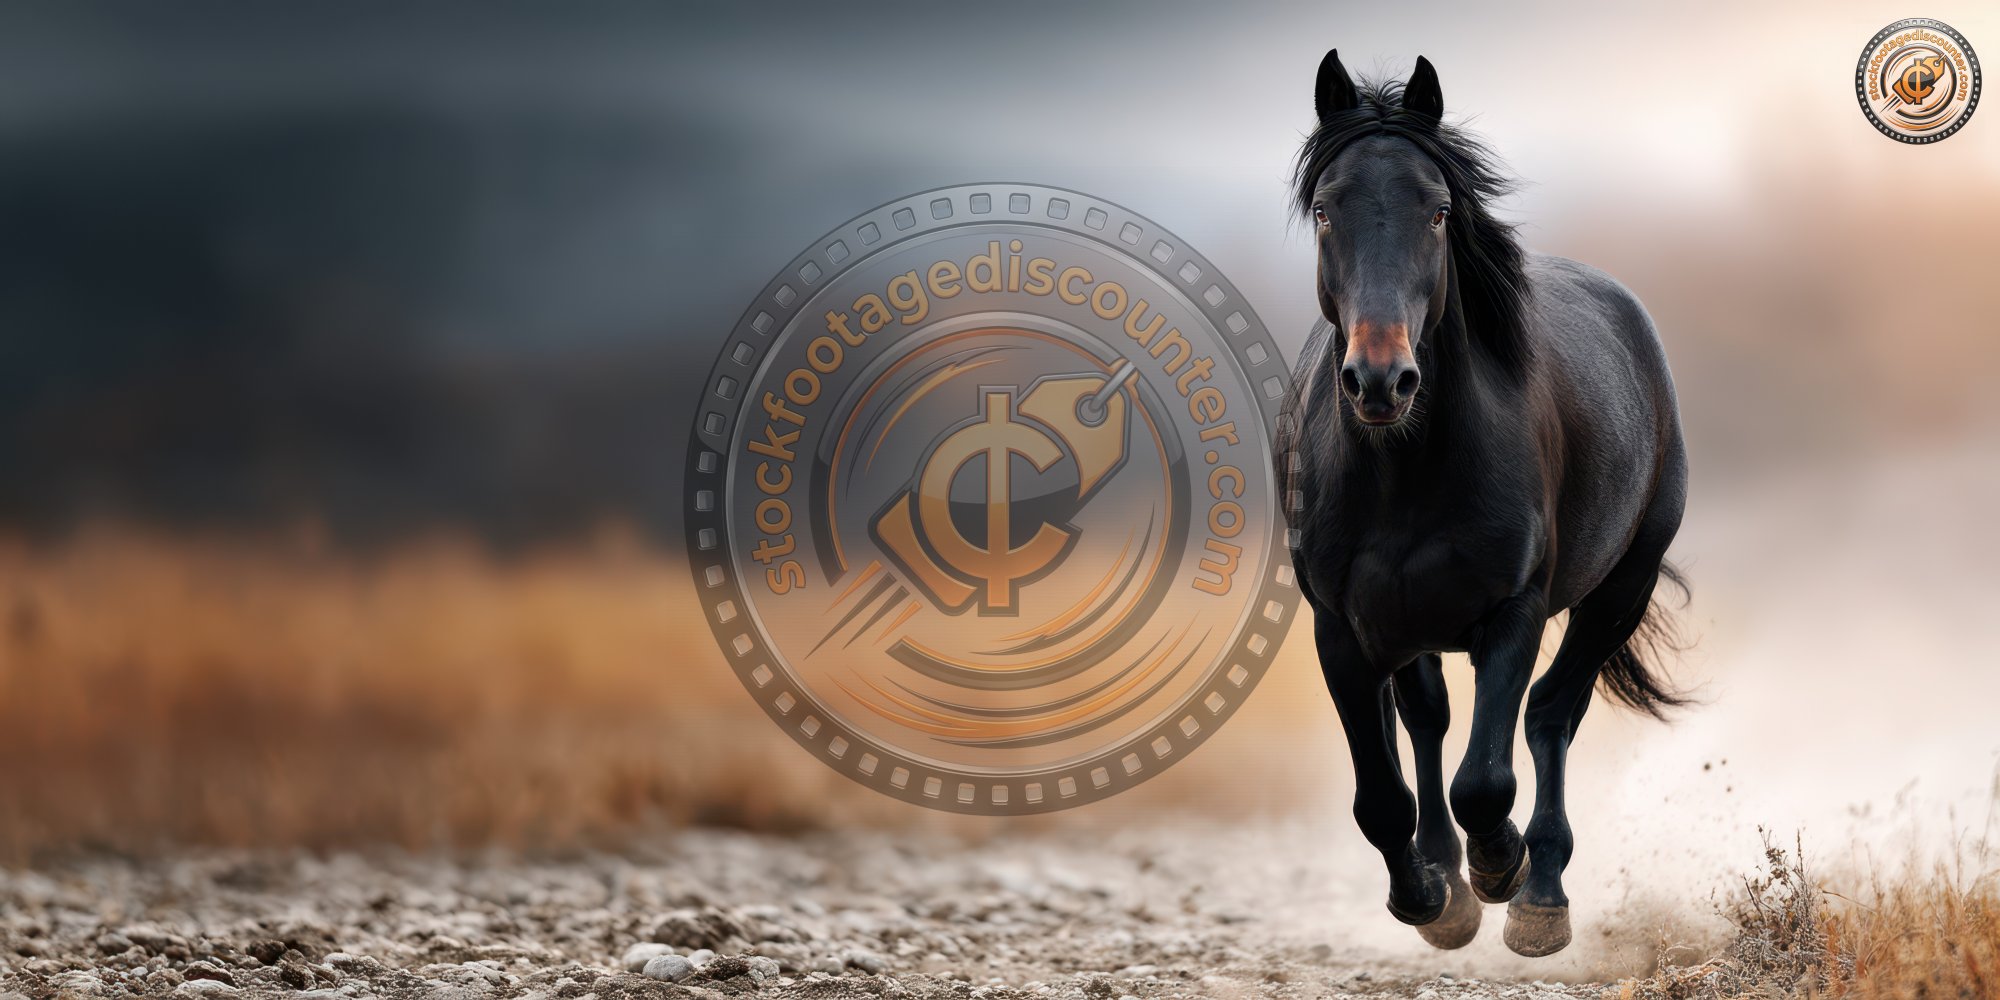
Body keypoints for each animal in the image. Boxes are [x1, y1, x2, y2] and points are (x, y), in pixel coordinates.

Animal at [1277, 50, 1690, 956]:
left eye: (1437, 211)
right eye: (1325, 209)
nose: (1381, 380)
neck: (1406, 469)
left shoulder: (1514, 610)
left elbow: (1487, 778)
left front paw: (1501, 868)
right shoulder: (1342, 630)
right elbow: (1382, 796)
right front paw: (1431, 896)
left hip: (1620, 588)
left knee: (1551, 716)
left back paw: (1539, 891)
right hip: (1409, 623)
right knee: (1430, 721)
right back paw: (1448, 873)